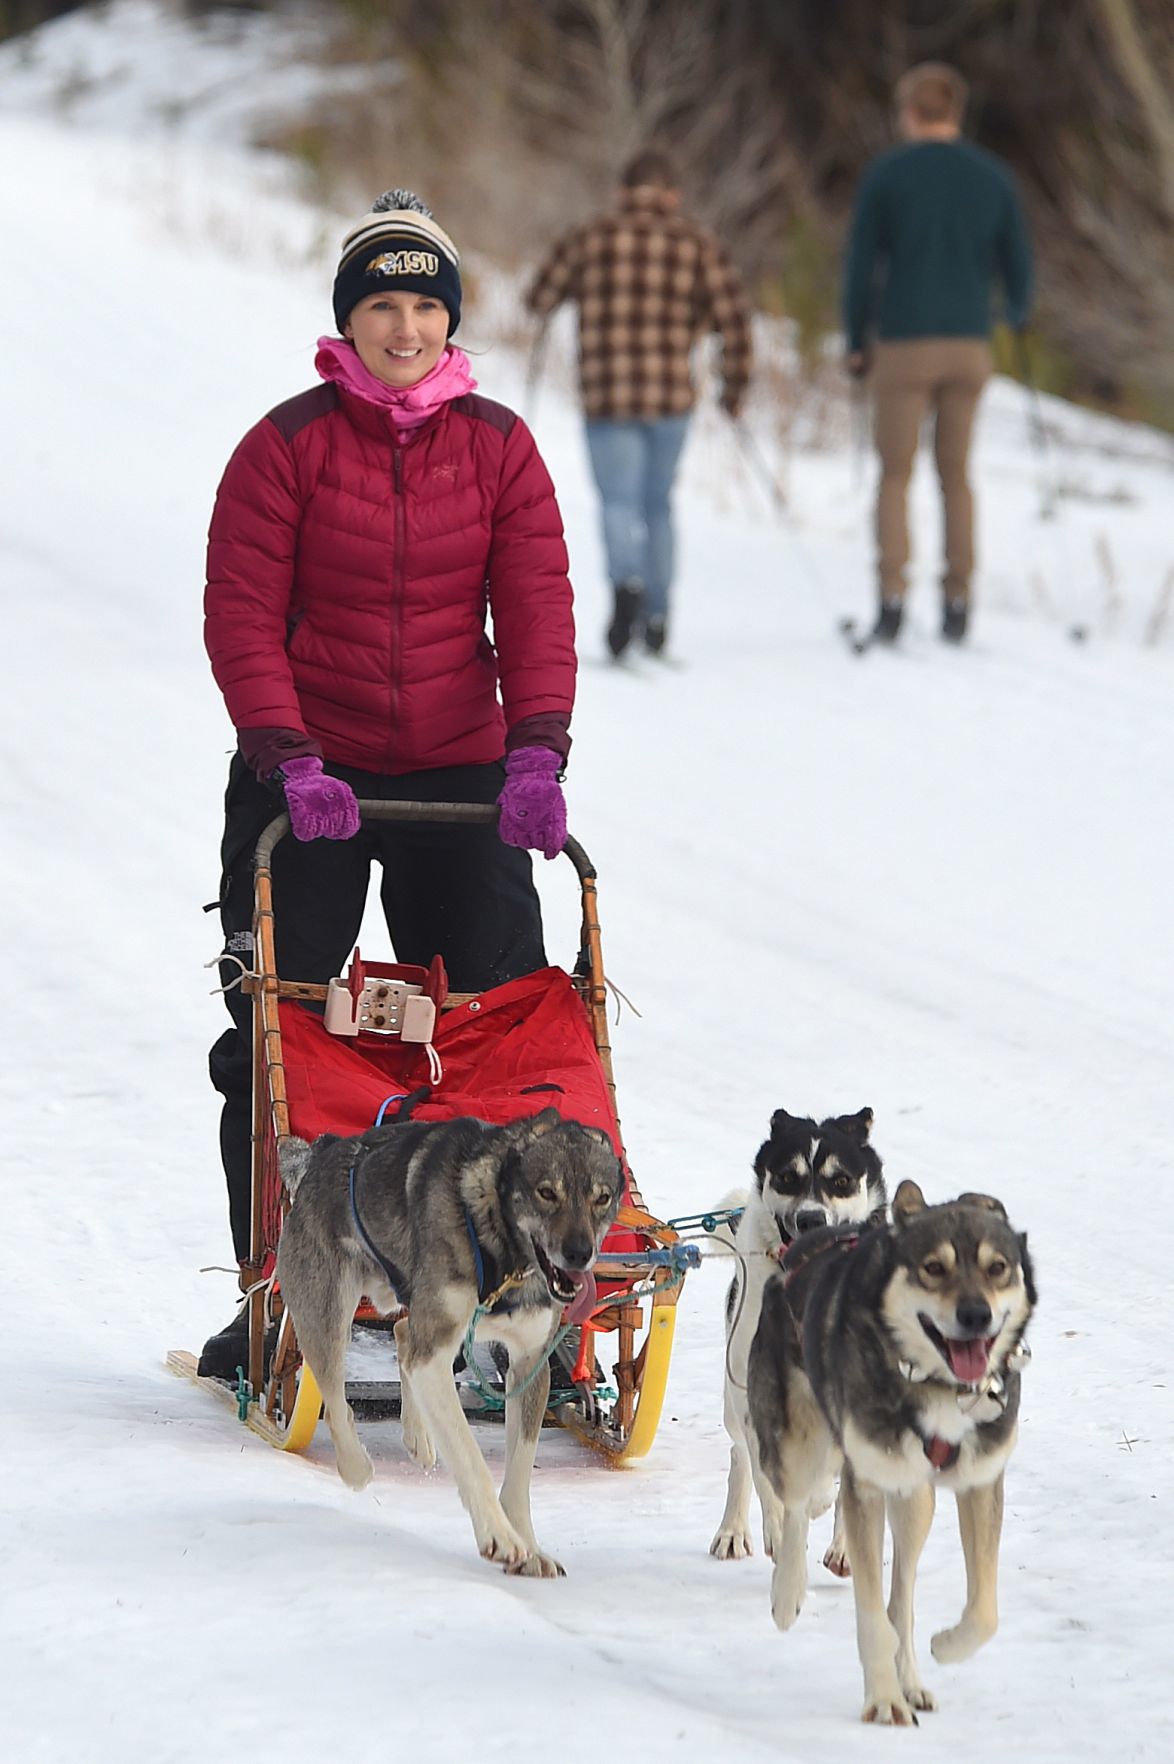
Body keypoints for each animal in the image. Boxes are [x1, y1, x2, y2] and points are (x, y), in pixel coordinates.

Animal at [274, 1107, 620, 1580]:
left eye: (601, 1198)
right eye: (547, 1192)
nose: (580, 1253)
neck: (498, 1245)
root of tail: (321, 1150)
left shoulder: (529, 1364)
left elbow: (519, 1473)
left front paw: (529, 1548)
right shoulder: (434, 1353)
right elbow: (470, 1455)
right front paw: (499, 1537)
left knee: (402, 1334)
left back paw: (417, 1434)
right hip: (328, 1315)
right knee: (337, 1395)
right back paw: (356, 1466)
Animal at [708, 1107, 881, 1566]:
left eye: (841, 1181)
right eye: (788, 1177)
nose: (810, 1219)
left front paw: (841, 1536)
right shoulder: (754, 1395)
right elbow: (769, 1477)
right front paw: (782, 1527)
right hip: (734, 1400)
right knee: (740, 1457)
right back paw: (734, 1530)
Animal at [743, 1178, 1029, 1728]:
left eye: (997, 1267)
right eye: (933, 1267)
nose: (976, 1315)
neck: (936, 1385)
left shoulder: (980, 1480)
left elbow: (983, 1612)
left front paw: (946, 1647)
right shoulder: (869, 1483)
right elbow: (872, 1617)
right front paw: (882, 1700)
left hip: (915, 1499)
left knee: (903, 1596)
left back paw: (912, 1679)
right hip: (796, 1445)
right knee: (797, 1504)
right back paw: (787, 1592)